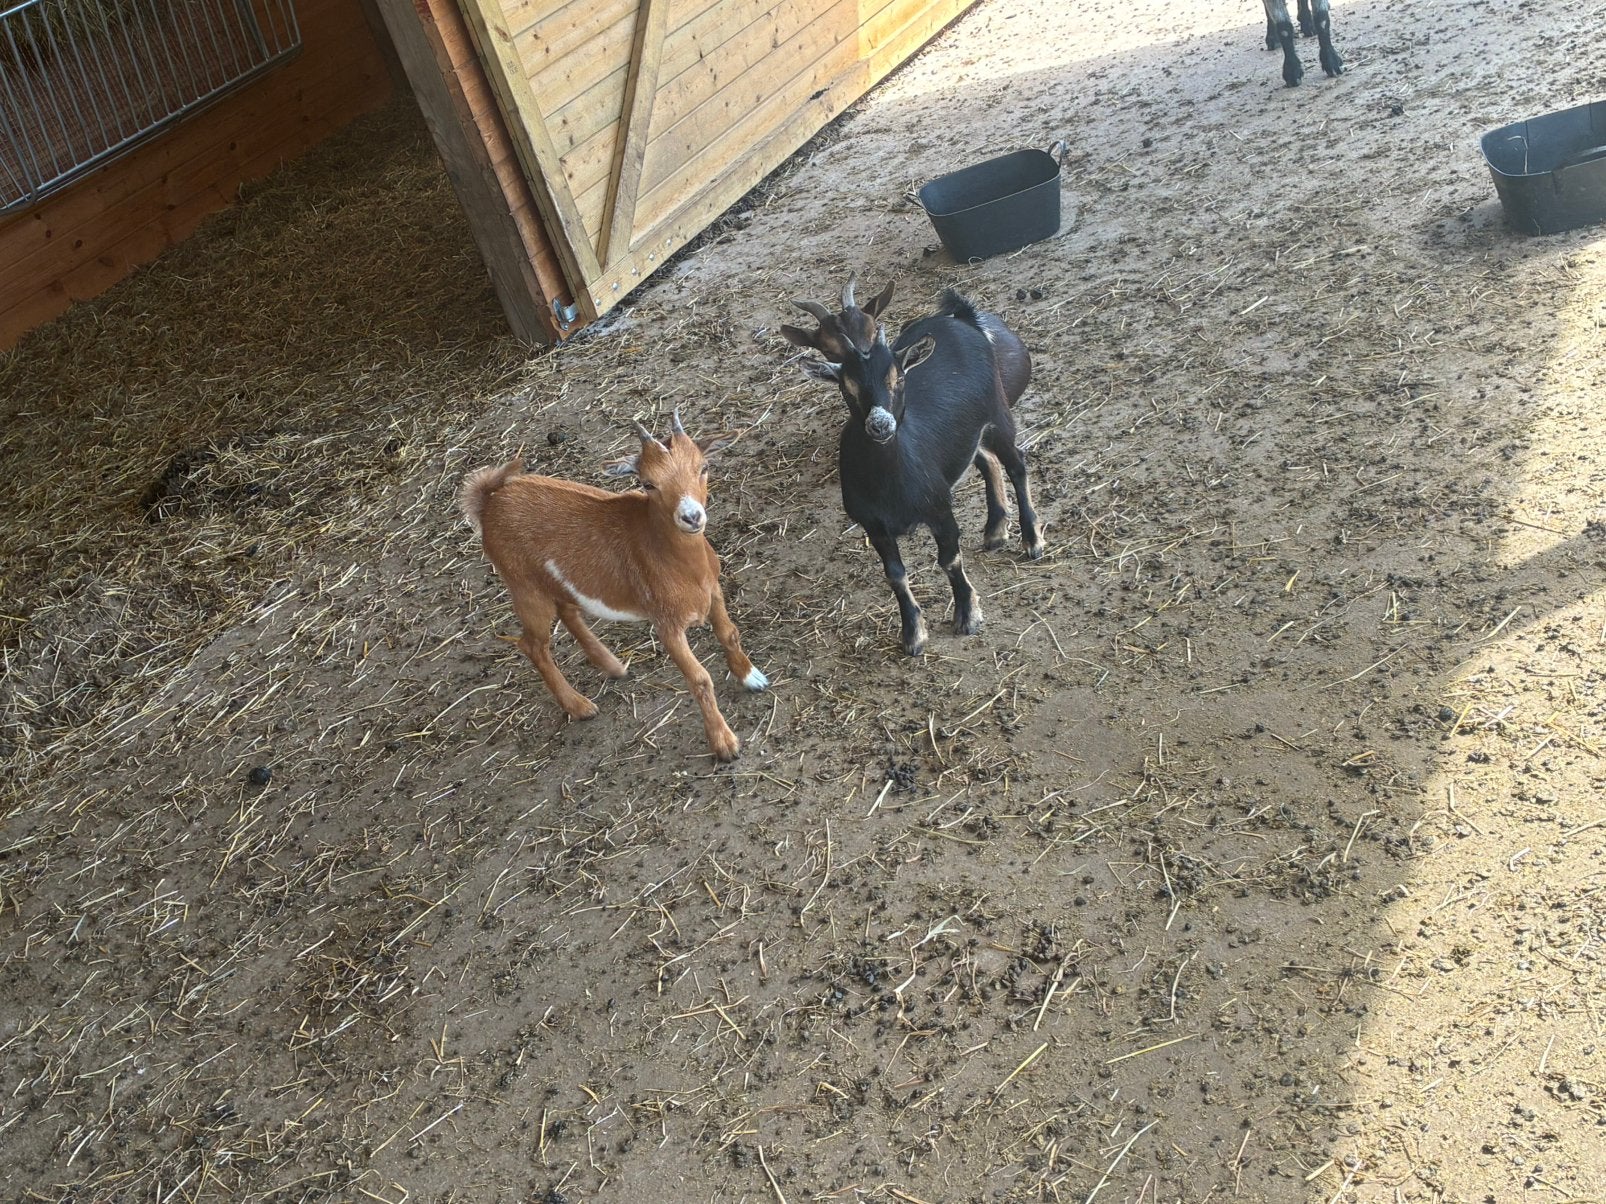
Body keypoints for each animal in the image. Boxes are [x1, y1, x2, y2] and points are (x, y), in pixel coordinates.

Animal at [457, 413, 766, 761]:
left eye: (704, 466)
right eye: (647, 483)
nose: (691, 517)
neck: (682, 565)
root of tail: (488, 501)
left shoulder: (713, 591)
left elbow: (729, 634)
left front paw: (751, 677)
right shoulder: (666, 623)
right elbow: (699, 678)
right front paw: (724, 743)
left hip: (555, 578)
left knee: (567, 611)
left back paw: (613, 666)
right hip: (523, 585)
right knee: (532, 645)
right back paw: (579, 706)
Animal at [782, 278, 1042, 657]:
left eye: (899, 377)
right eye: (846, 387)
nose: (880, 425)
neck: (891, 482)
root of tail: (960, 319)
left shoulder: (939, 508)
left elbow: (949, 559)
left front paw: (967, 615)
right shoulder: (875, 526)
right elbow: (895, 575)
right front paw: (913, 633)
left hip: (998, 414)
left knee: (1016, 463)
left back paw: (1032, 540)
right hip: (966, 435)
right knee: (985, 459)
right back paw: (995, 531)